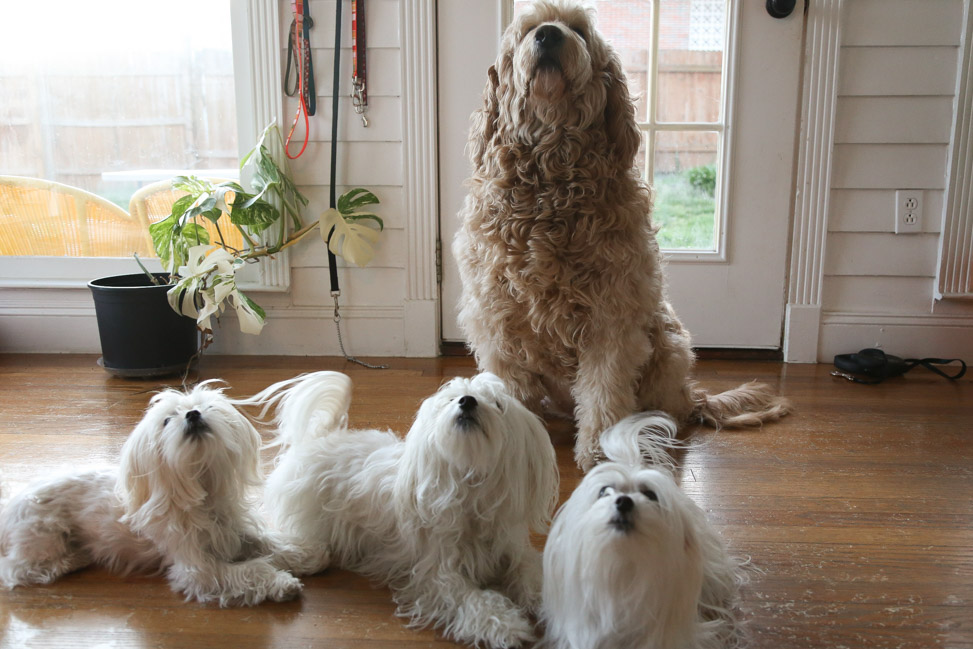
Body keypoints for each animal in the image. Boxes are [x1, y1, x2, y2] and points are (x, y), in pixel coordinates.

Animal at [0, 380, 300, 608]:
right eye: (167, 420)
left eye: (207, 407)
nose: (193, 414)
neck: (202, 490)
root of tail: (8, 507)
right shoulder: (198, 568)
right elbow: (250, 568)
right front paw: (281, 582)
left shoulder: (235, 529)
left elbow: (266, 542)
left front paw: (296, 554)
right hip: (44, 536)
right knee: (15, 569)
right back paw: (72, 559)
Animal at [254, 370, 560, 648]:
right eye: (452, 399)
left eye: (497, 403)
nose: (467, 401)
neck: (468, 489)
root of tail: (319, 438)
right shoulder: (439, 575)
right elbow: (472, 598)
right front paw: (506, 625)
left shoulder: (512, 549)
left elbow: (532, 572)